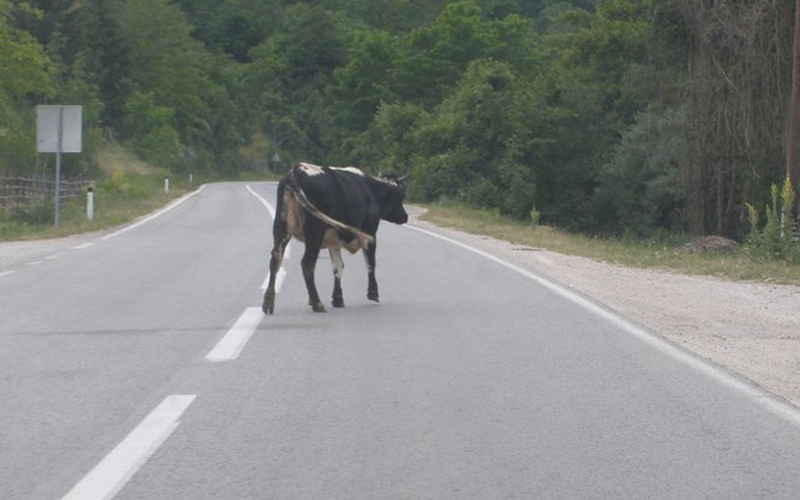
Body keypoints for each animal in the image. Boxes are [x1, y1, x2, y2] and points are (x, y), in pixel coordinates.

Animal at [262, 162, 410, 314]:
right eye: (400, 197)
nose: (405, 216)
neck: (371, 190)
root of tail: (297, 170)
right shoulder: (371, 234)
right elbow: (370, 263)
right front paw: (373, 293)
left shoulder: (334, 241)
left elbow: (338, 267)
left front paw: (338, 298)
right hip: (314, 233)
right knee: (307, 264)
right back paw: (317, 303)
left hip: (281, 226)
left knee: (276, 258)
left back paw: (268, 303)